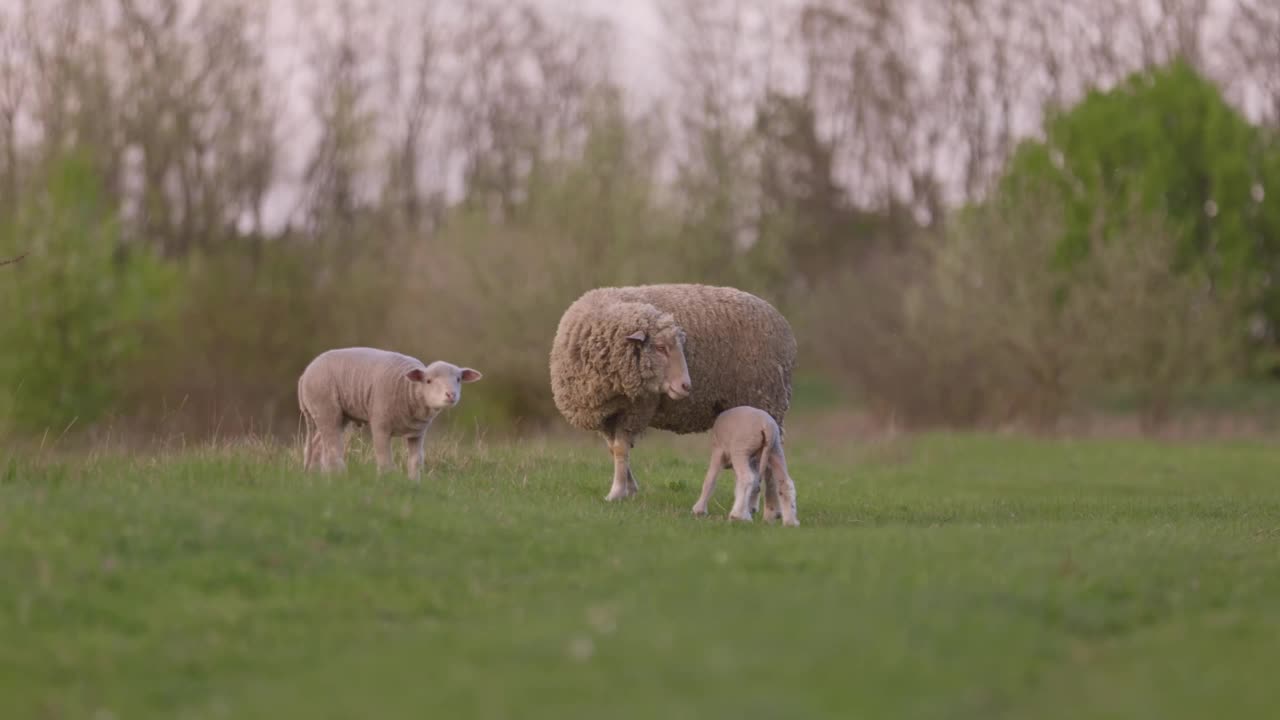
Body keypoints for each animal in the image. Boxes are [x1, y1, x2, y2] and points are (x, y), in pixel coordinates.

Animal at [296, 345, 481, 479]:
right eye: (428, 381)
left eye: (458, 379)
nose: (451, 395)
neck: (410, 390)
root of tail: (304, 375)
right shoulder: (380, 424)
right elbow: (385, 459)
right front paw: (387, 482)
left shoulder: (418, 433)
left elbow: (416, 461)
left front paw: (414, 483)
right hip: (324, 405)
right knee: (332, 447)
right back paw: (339, 477)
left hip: (338, 414)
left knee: (318, 445)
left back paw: (315, 477)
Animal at [547, 280, 793, 499]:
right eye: (660, 347)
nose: (686, 385)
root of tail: (781, 322)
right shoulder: (608, 413)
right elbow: (614, 449)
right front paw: (629, 488)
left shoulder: (637, 409)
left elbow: (621, 449)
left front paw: (617, 492)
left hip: (766, 401)